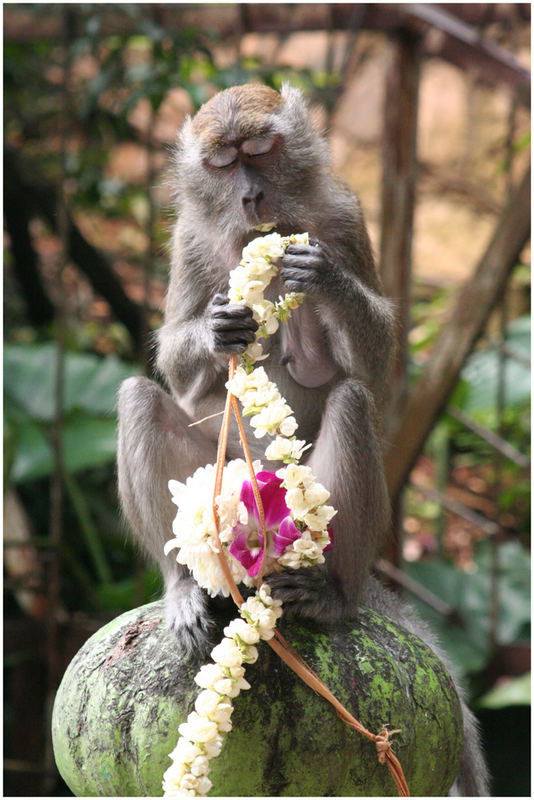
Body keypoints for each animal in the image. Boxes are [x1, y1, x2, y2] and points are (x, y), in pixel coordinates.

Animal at [117, 83, 490, 792]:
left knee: (351, 401)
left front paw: (324, 280)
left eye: (260, 151)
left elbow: (375, 367)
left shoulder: (345, 215)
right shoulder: (188, 240)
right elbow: (175, 367)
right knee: (137, 398)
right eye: (223, 164)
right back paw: (182, 587)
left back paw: (332, 597)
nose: (251, 197)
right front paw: (218, 328)